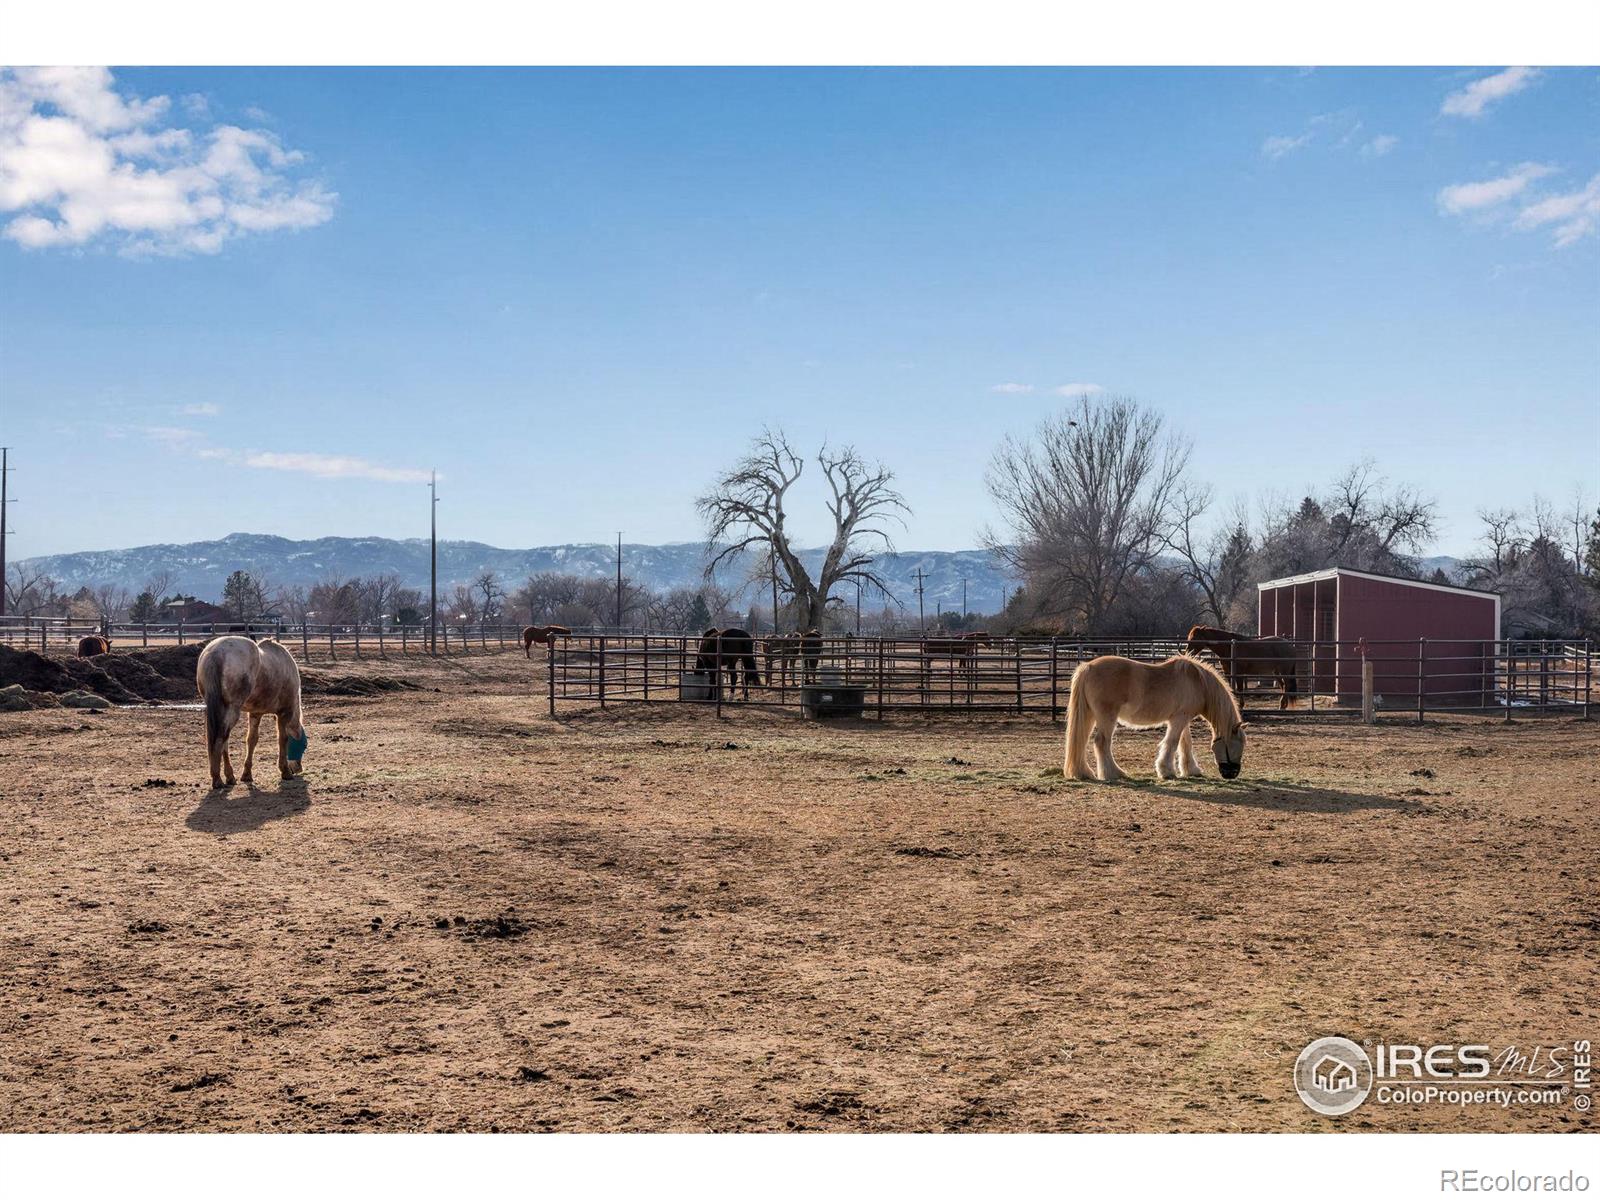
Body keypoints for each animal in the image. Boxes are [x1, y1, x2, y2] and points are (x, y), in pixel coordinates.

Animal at [195, 633, 307, 793]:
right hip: (232, 710)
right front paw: (285, 771)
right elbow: (282, 739)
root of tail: (216, 653)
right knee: (221, 738)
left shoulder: (255, 713)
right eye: (304, 745)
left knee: (224, 741)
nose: (298, 768)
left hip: (220, 709)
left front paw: (247, 774)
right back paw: (217, 779)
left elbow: (252, 740)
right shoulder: (284, 713)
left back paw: (229, 776)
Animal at [1062, 652, 1248, 784]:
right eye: (1238, 744)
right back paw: (1113, 773)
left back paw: (1084, 773)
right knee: (1101, 742)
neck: (1198, 682)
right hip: (1106, 717)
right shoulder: (1179, 719)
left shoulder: (1181, 718)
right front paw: (1166, 771)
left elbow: (1185, 743)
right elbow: (1172, 742)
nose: (1231, 774)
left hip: (1090, 716)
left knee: (1082, 741)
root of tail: (1087, 667)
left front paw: (1191, 770)